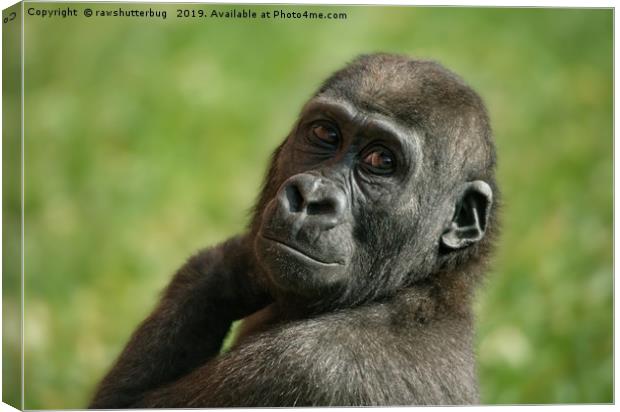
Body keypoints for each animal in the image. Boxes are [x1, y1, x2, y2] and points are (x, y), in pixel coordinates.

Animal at [89, 53, 498, 408]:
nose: (311, 197)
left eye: (381, 160)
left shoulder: (307, 368)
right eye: (325, 133)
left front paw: (237, 264)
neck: (433, 283)